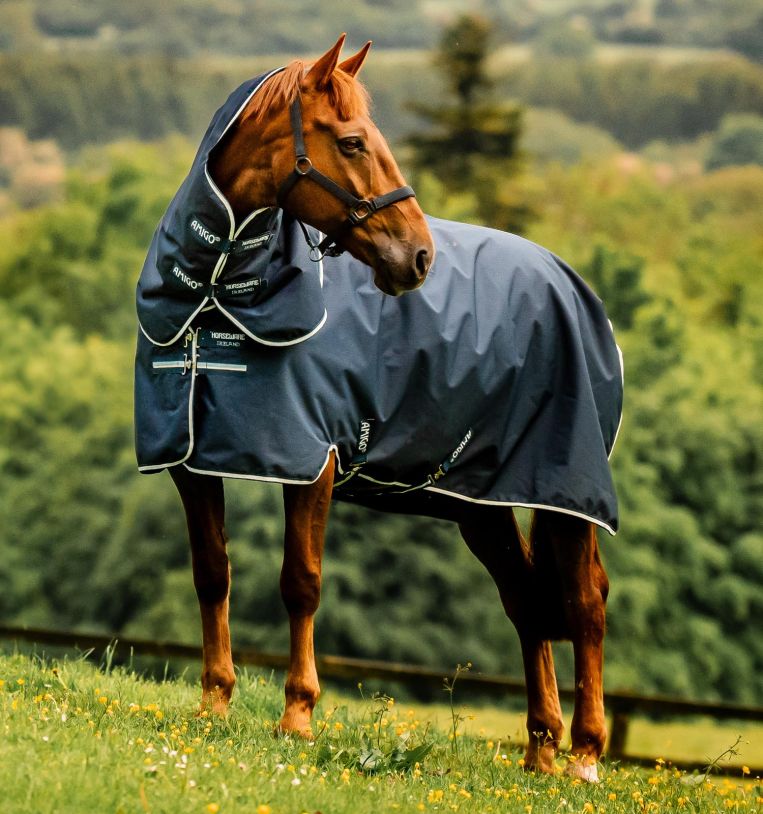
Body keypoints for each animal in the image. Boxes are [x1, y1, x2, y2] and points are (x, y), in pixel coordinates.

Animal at [140, 35, 616, 782]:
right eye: (353, 141)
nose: (417, 256)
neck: (218, 292)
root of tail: (568, 282)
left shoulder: (312, 464)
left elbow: (300, 582)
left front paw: (297, 716)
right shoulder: (192, 462)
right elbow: (212, 575)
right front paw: (214, 702)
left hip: (566, 493)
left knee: (584, 602)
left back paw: (585, 757)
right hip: (479, 502)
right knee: (526, 601)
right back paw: (540, 750)